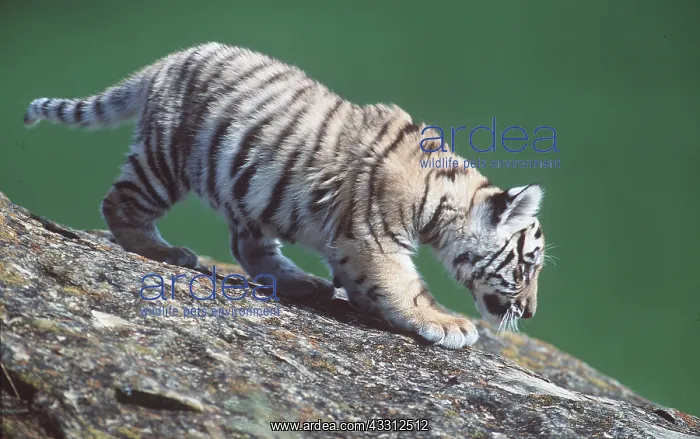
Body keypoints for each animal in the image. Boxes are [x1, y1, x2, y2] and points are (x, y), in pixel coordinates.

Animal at [23, 42, 546, 349]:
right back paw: (165, 251)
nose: (531, 312)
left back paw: (301, 283)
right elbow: (405, 285)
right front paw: (446, 323)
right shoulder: (373, 237)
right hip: (165, 160)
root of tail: (168, 60)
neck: (442, 203)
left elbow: (366, 284)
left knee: (248, 247)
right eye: (527, 266)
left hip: (250, 191)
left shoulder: (351, 239)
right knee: (120, 203)